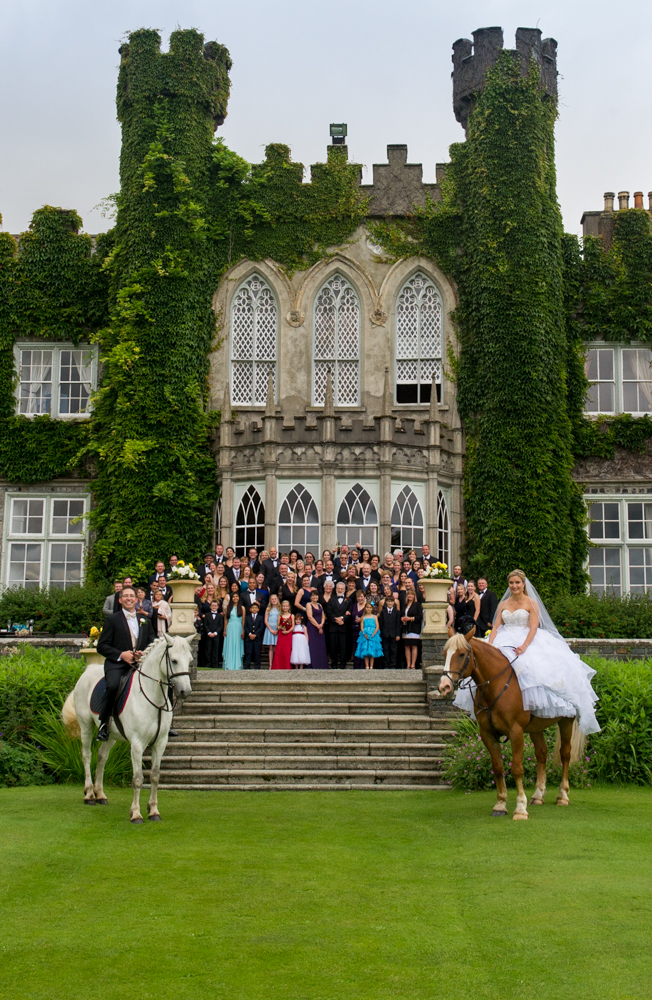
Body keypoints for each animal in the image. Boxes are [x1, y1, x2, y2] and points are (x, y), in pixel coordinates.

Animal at [60, 636, 194, 824]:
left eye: (189, 661)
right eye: (174, 661)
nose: (185, 691)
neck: (153, 699)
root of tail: (89, 670)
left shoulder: (160, 743)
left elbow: (155, 776)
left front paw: (154, 811)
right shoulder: (137, 744)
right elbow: (138, 778)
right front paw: (136, 814)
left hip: (111, 735)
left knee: (102, 756)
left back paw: (100, 794)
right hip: (86, 725)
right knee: (86, 755)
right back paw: (89, 794)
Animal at [438, 632, 580, 820]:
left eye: (461, 654)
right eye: (444, 653)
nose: (444, 686)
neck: (495, 685)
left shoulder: (516, 732)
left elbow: (517, 769)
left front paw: (520, 808)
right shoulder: (487, 734)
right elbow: (498, 768)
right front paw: (500, 804)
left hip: (566, 721)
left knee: (565, 754)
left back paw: (562, 795)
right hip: (536, 727)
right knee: (541, 753)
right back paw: (538, 795)